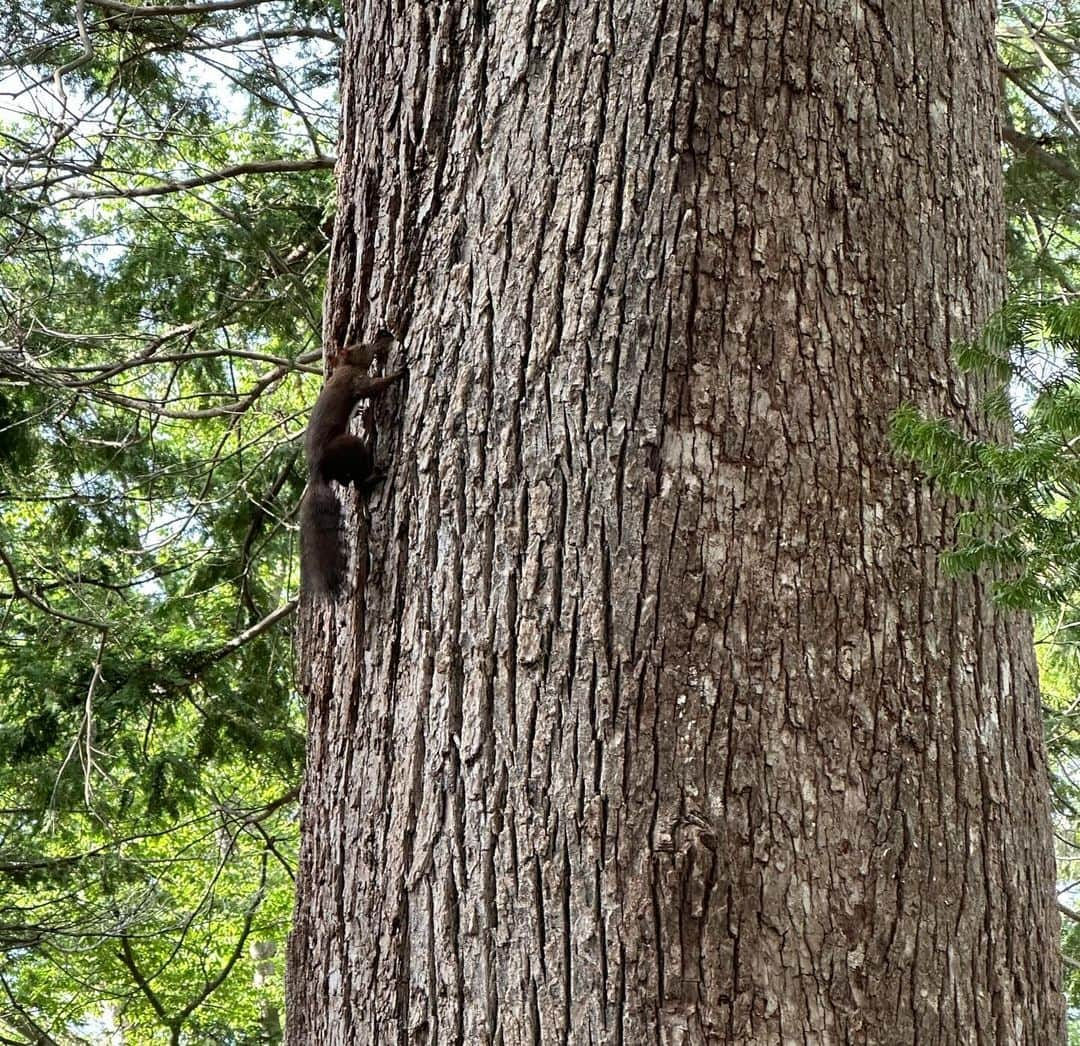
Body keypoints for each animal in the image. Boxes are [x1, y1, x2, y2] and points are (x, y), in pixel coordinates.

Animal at [300, 334, 406, 595]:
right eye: (362, 347)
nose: (378, 344)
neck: (345, 367)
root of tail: (318, 471)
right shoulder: (355, 381)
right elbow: (372, 388)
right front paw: (397, 373)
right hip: (347, 446)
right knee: (357, 481)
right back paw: (373, 477)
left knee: (346, 481)